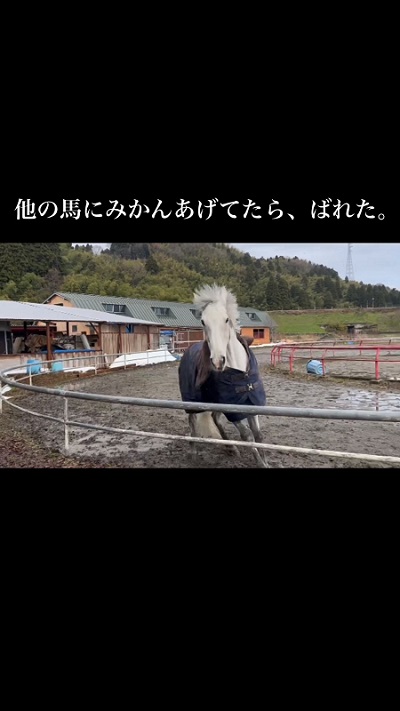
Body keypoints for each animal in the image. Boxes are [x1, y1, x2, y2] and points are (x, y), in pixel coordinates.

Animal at [178, 284, 269, 468]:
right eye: (203, 321)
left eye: (226, 319)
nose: (218, 361)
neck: (242, 374)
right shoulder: (232, 410)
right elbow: (247, 435)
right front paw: (260, 462)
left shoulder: (252, 404)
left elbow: (258, 435)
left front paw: (265, 462)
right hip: (192, 402)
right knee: (193, 423)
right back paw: (194, 452)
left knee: (215, 418)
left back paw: (230, 448)